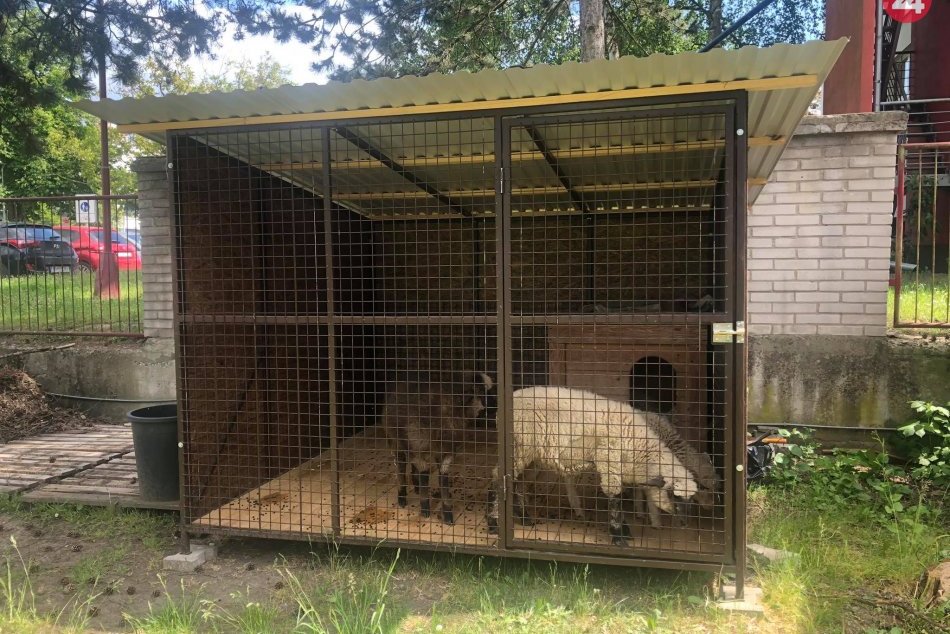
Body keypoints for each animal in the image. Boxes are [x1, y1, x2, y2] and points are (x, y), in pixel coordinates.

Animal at [490, 382, 700, 544]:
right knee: (499, 478)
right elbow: (615, 499)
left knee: (518, 483)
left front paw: (624, 531)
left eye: (692, 499)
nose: (685, 523)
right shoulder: (609, 461)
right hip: (518, 447)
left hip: (532, 456)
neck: (640, 447)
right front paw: (619, 537)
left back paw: (524, 517)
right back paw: (493, 523)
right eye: (673, 495)